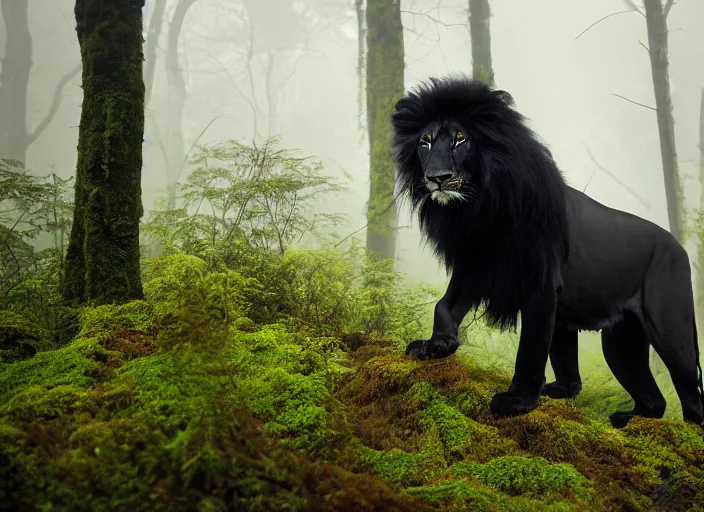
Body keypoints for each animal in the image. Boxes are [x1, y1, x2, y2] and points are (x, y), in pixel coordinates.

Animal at [390, 75, 704, 428]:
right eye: (425, 142)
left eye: (460, 140)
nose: (437, 178)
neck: (479, 209)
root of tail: (678, 246)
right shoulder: (474, 266)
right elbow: (443, 306)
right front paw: (436, 345)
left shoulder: (540, 284)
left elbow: (531, 347)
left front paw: (517, 400)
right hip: (620, 342)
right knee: (650, 400)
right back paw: (625, 420)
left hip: (671, 330)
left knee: (691, 397)